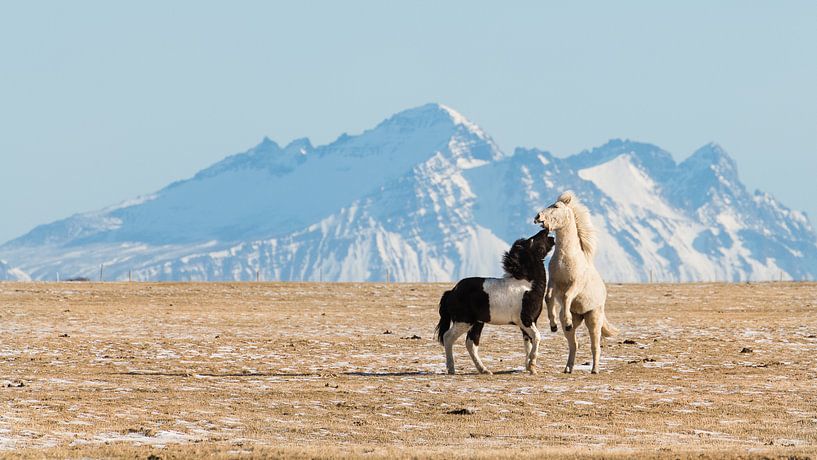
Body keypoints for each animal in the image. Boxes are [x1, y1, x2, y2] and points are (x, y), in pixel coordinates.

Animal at [435, 229, 555, 375]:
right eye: (532, 240)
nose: (546, 231)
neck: (528, 286)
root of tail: (452, 292)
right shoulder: (525, 320)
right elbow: (537, 337)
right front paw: (532, 365)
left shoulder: (528, 323)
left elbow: (528, 343)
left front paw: (529, 368)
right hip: (464, 321)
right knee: (448, 337)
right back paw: (451, 368)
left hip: (477, 323)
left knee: (471, 343)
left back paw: (484, 370)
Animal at [534, 191, 618, 374]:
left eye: (556, 206)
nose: (537, 217)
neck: (566, 256)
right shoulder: (553, 282)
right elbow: (548, 298)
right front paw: (553, 324)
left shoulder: (575, 285)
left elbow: (566, 296)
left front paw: (565, 320)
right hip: (578, 320)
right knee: (574, 344)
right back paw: (568, 368)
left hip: (593, 318)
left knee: (595, 346)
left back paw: (595, 369)